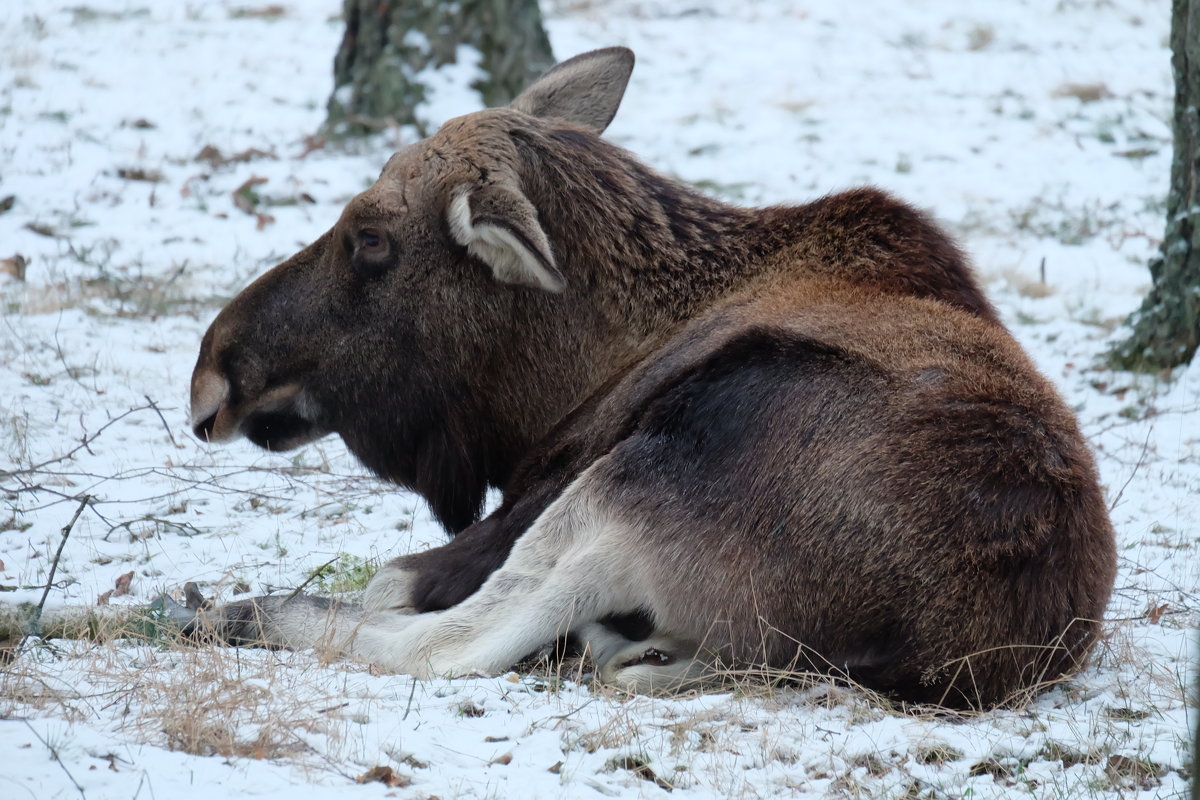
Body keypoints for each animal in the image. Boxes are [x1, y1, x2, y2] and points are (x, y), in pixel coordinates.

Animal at [187, 47, 1113, 705]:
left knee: (450, 644)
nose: (212, 376)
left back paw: (228, 610)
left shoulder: (534, 491)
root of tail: (946, 649)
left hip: (634, 479)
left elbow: (394, 583)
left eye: (371, 238)